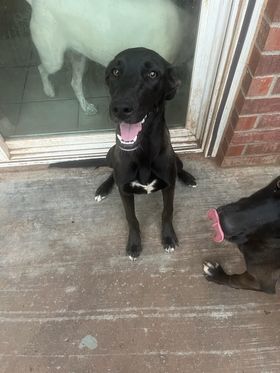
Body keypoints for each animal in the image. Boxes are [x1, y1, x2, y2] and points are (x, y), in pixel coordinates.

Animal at [94, 47, 195, 258]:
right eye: (115, 72)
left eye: (153, 74)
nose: (120, 108)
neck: (144, 152)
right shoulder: (125, 191)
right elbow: (131, 218)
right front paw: (134, 244)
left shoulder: (169, 187)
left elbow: (167, 212)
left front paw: (168, 237)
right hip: (110, 154)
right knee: (111, 173)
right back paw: (103, 188)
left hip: (177, 158)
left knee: (180, 167)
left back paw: (188, 177)